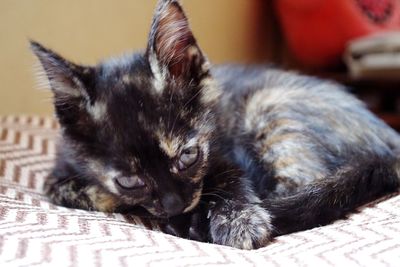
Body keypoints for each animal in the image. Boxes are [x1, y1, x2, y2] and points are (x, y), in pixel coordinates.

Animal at [31, 0, 400, 251]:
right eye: (129, 181)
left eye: (187, 156)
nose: (175, 205)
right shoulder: (58, 169)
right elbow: (70, 190)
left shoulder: (224, 151)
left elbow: (232, 178)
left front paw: (238, 219)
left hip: (269, 108)